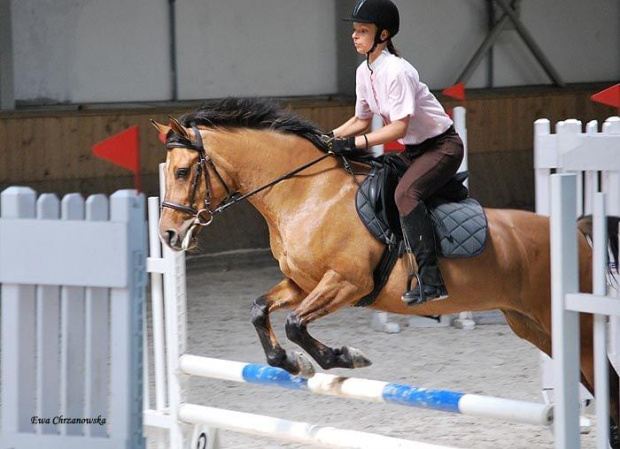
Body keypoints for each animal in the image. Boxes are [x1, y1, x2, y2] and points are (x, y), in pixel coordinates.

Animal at [151, 96, 620, 442]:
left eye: (183, 171)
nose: (169, 235)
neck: (306, 193)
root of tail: (572, 229)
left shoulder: (347, 283)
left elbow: (295, 325)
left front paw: (344, 357)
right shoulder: (301, 283)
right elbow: (260, 310)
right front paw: (292, 364)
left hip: (564, 323)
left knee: (604, 381)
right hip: (532, 325)